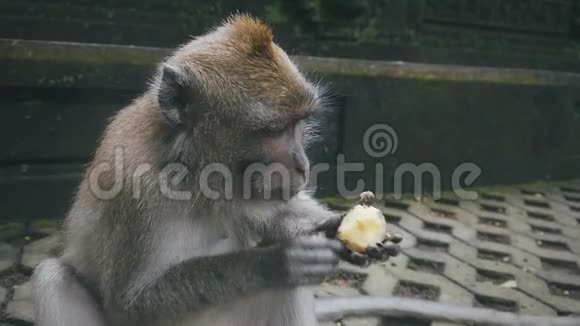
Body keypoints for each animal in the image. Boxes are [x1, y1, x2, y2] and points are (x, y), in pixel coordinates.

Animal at [32, 15, 398, 326]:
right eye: (274, 130)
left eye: (299, 124)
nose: (302, 164)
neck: (190, 171)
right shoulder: (134, 191)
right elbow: (129, 304)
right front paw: (277, 262)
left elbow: (272, 215)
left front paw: (334, 226)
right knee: (54, 278)